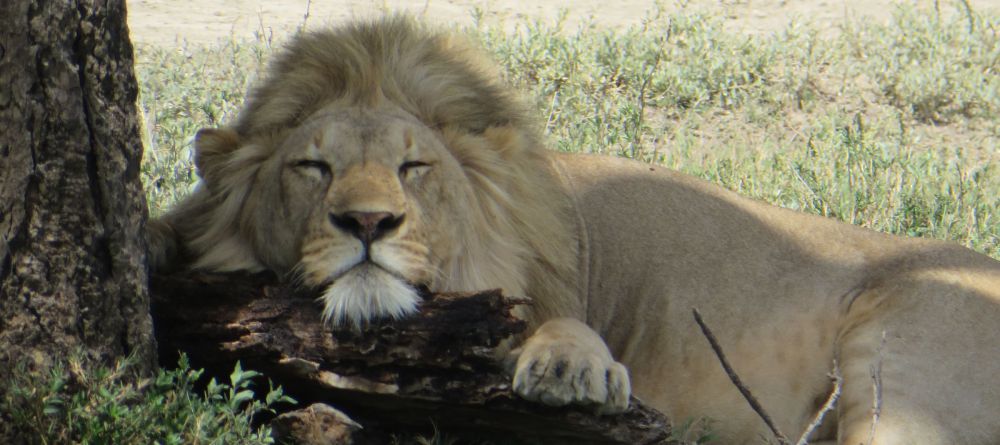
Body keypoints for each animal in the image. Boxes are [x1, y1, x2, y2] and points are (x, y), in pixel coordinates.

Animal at [148, 15, 1000, 444]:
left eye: (413, 166)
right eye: (312, 167)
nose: (367, 221)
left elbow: (563, 323)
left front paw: (571, 367)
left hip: (899, 364)